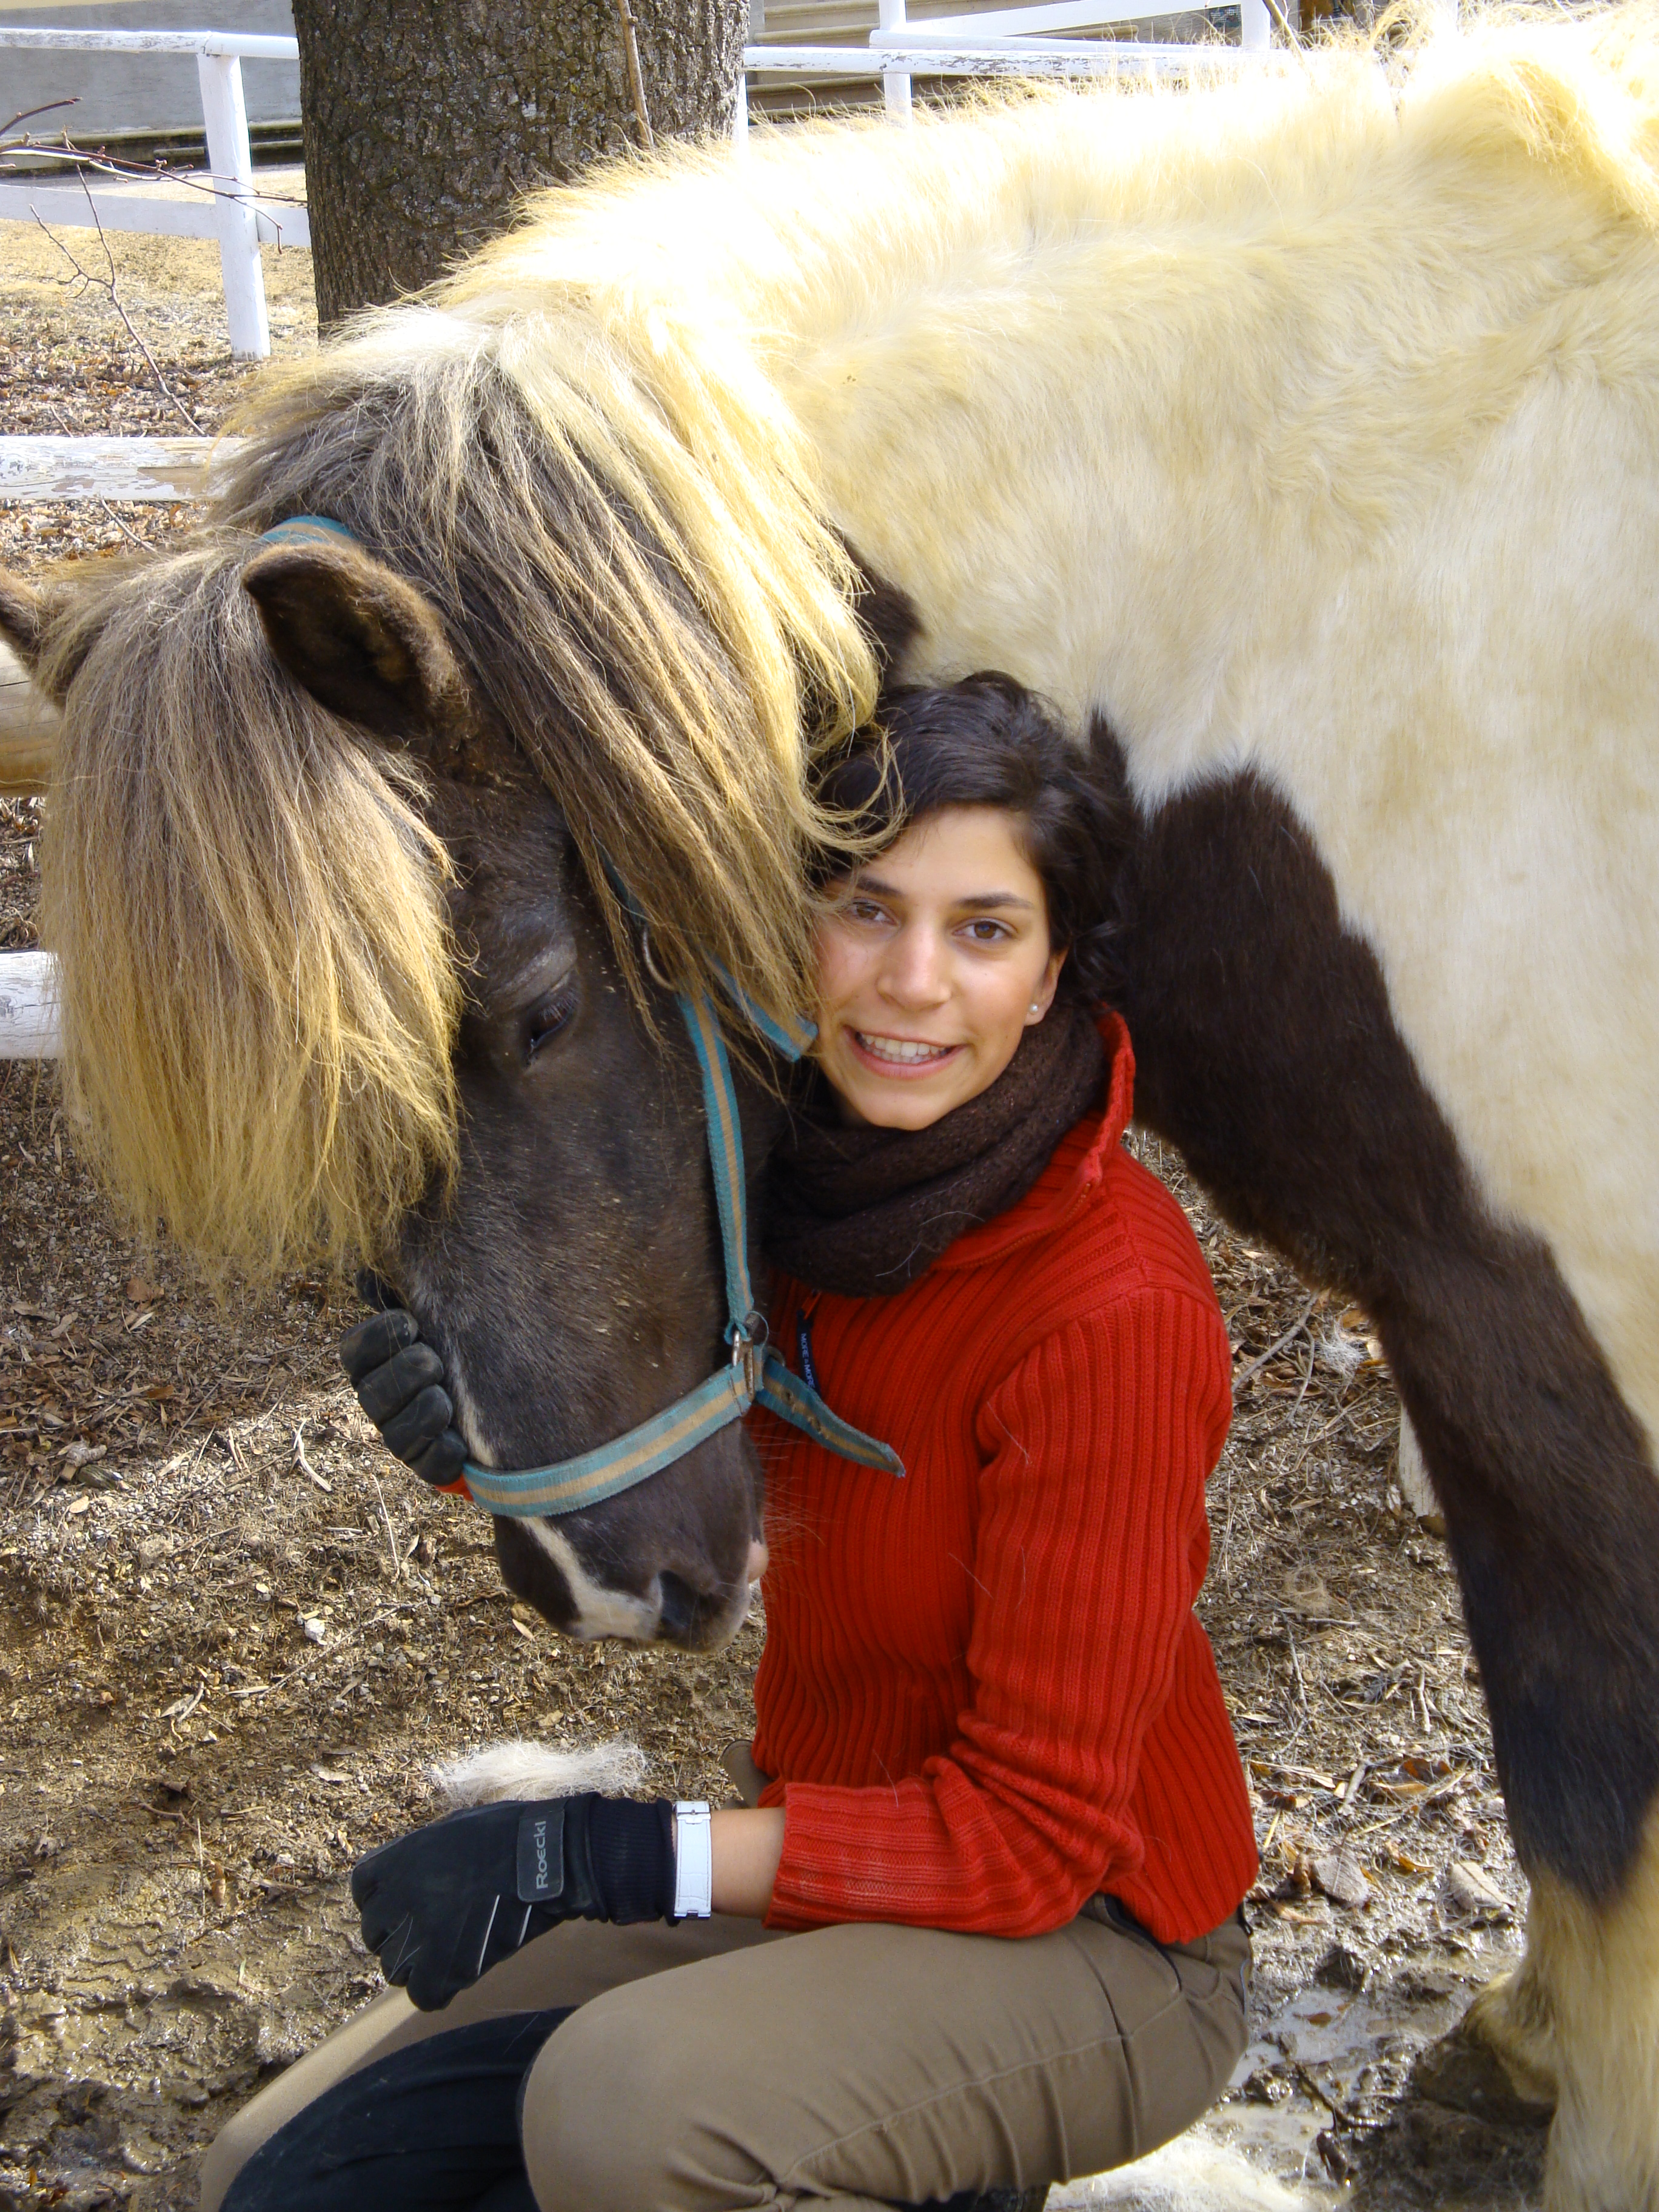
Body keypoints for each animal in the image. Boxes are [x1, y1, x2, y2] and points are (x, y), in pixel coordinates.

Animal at [3, 8, 1659, 2203]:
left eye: (535, 1010)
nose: (599, 1593)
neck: (1385, 603)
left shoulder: (1567, 1352)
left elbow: (1587, 1766)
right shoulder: (1479, 1344)